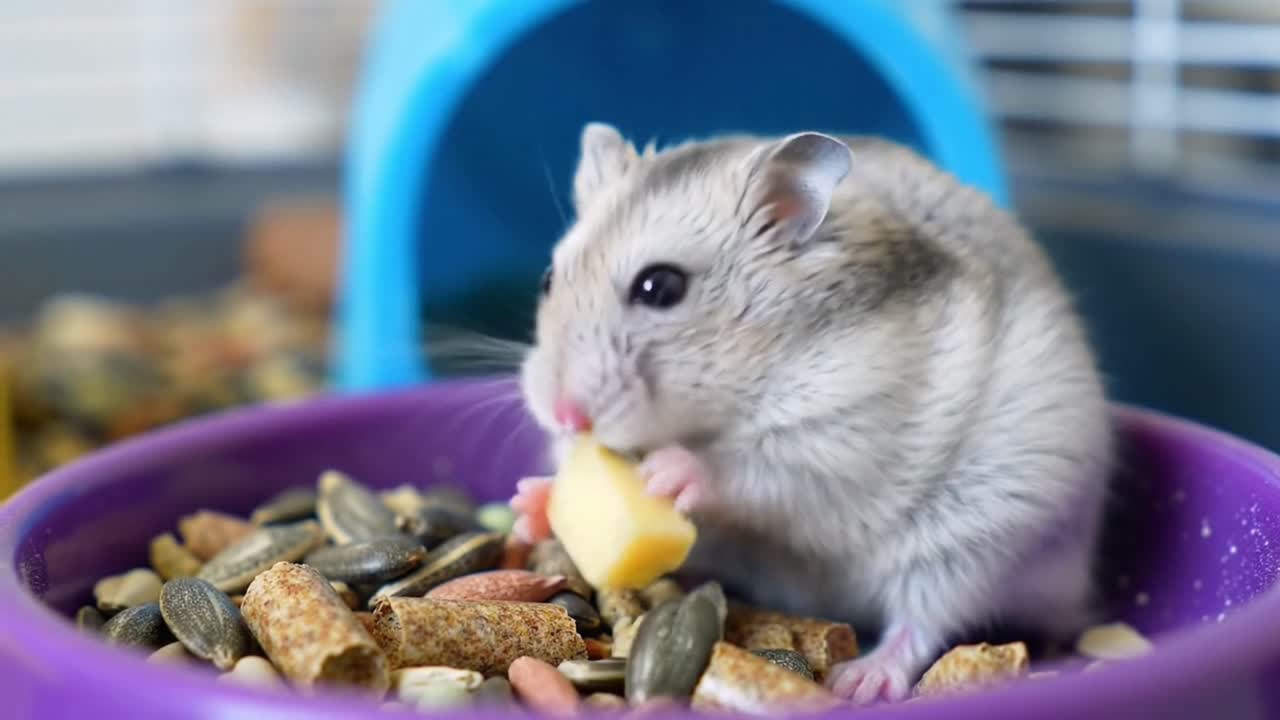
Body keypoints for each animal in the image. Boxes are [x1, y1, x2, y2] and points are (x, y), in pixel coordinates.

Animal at [511, 122, 1113, 704]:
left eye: (660, 287)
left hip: (984, 534)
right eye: (547, 279)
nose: (564, 417)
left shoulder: (839, 428)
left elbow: (756, 471)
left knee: (925, 619)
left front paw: (666, 474)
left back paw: (861, 679)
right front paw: (530, 503)